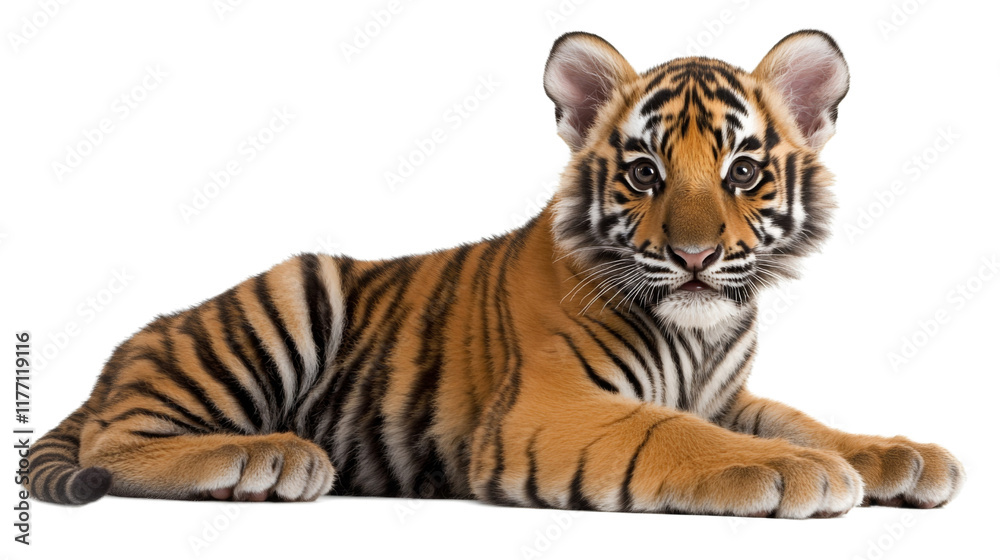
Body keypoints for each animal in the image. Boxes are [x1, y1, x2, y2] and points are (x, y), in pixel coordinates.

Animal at [27, 30, 965, 518]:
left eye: (742, 172)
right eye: (644, 174)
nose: (695, 256)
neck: (697, 335)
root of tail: (123, 353)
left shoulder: (728, 394)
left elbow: (804, 419)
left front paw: (900, 456)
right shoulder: (547, 411)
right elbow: (675, 432)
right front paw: (798, 474)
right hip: (285, 299)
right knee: (115, 442)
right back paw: (272, 456)